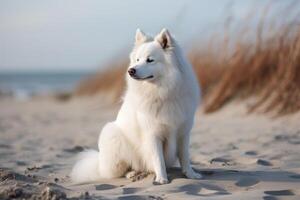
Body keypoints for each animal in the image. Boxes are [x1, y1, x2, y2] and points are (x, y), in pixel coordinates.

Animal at [70, 28, 202, 184]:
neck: (163, 92)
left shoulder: (183, 132)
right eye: (137, 60)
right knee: (121, 170)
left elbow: (185, 157)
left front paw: (191, 174)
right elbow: (158, 159)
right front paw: (161, 179)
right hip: (113, 134)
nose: (131, 70)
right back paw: (132, 173)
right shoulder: (152, 134)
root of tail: (99, 164)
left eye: (150, 60)